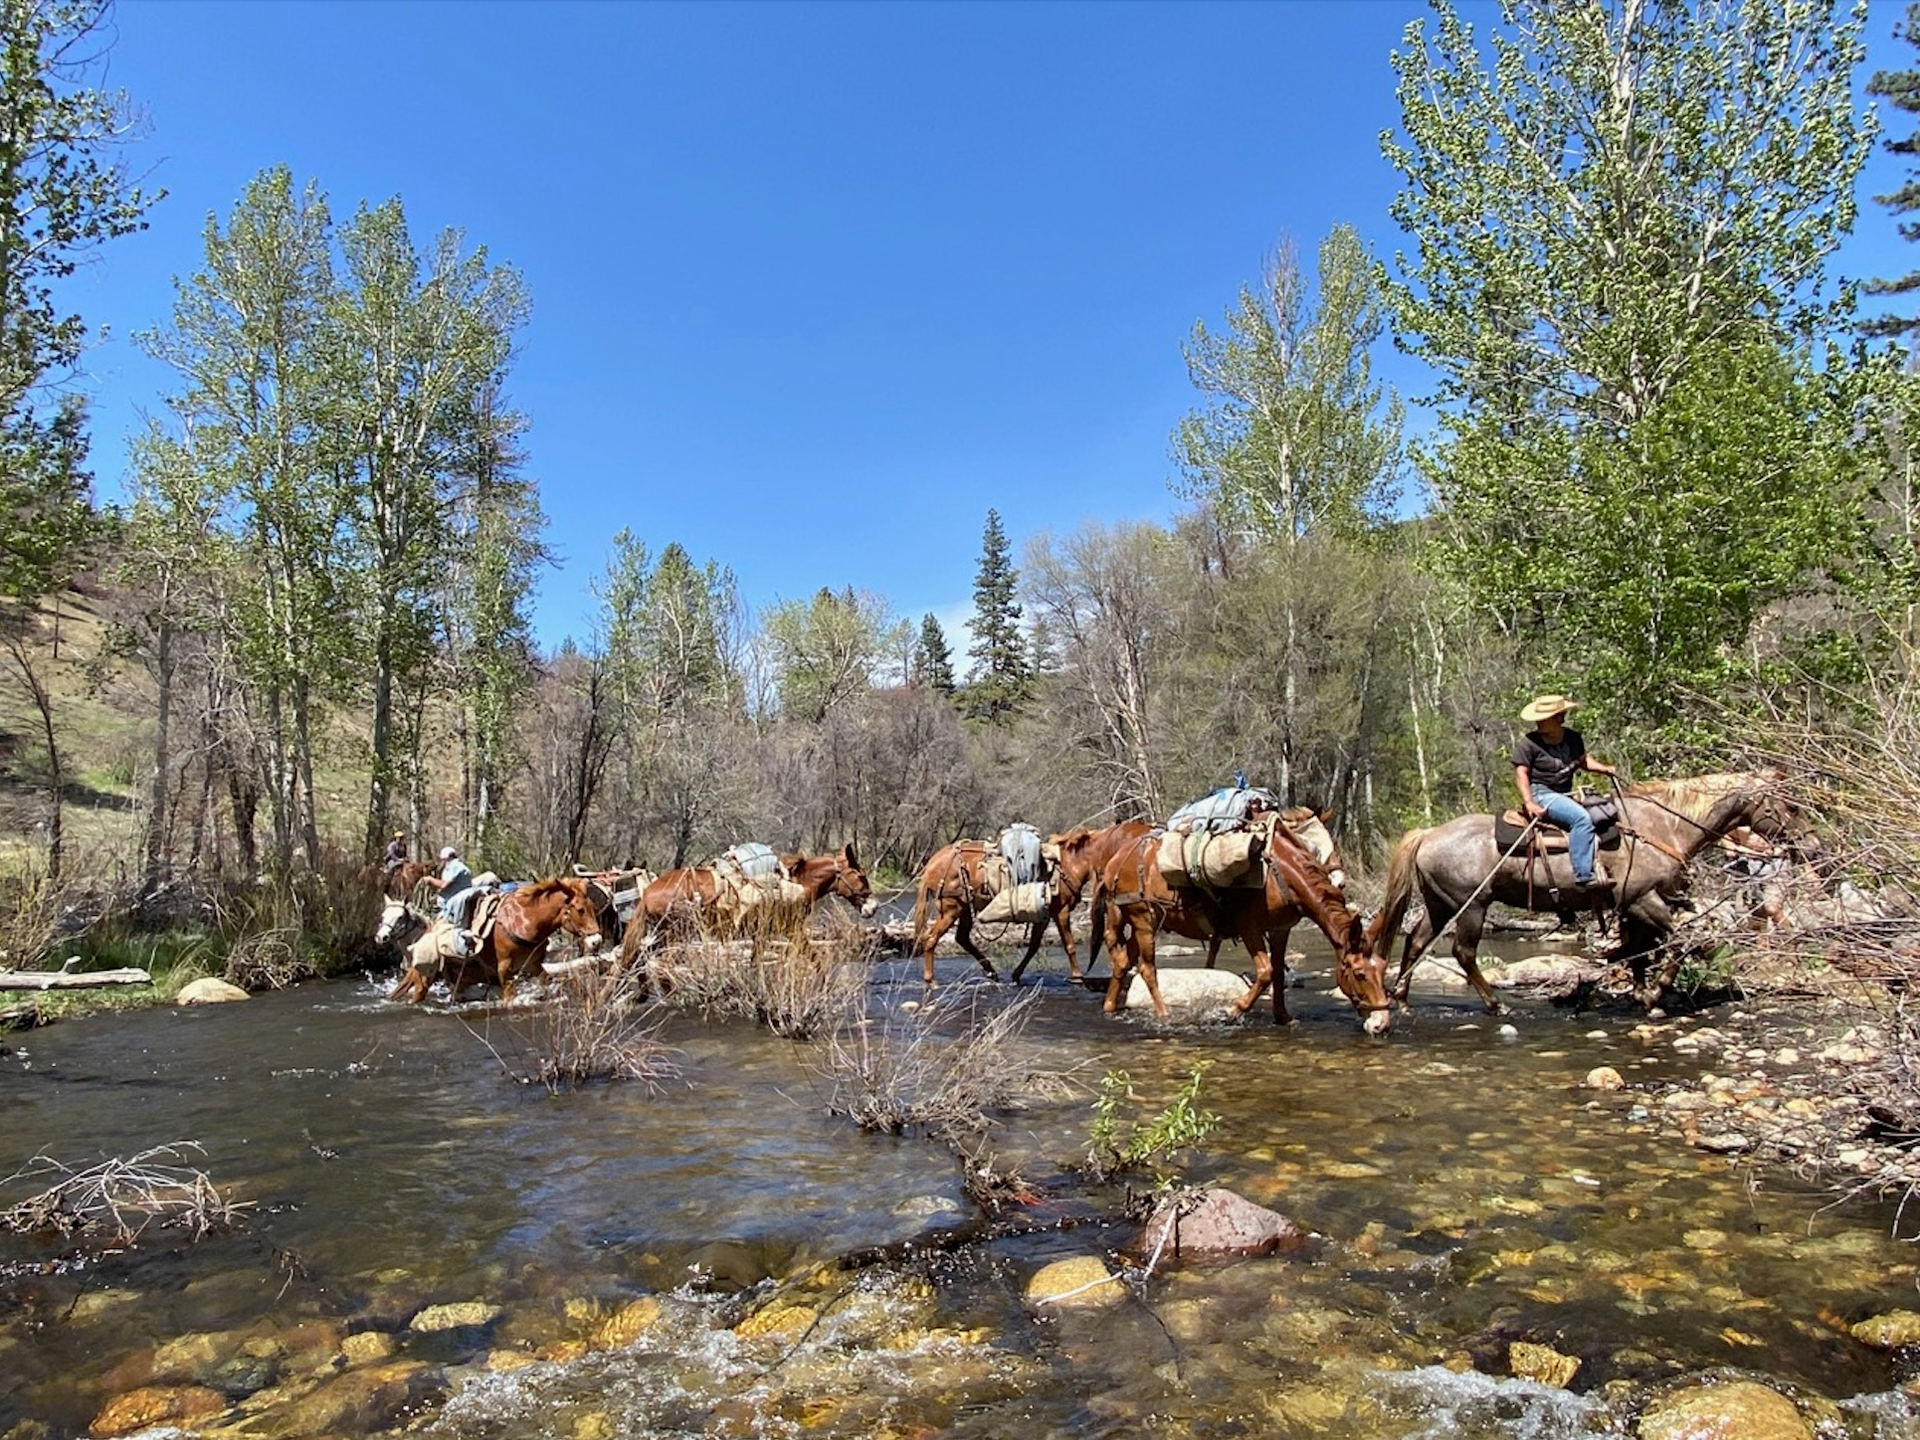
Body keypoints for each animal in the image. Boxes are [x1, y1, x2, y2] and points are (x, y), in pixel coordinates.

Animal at [385, 875, 602, 1006]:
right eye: (580, 910)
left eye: (593, 907)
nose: (597, 941)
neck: (524, 922)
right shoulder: (505, 971)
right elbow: (510, 996)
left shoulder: (534, 966)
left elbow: (546, 980)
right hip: (424, 977)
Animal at [614, 852, 879, 975]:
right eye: (862, 876)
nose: (874, 907)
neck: (795, 882)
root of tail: (648, 892)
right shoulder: (792, 930)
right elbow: (817, 960)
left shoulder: (763, 934)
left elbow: (755, 963)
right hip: (674, 935)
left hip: (662, 935)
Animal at [1098, 821, 1397, 1036]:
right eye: (1359, 974)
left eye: (1382, 969)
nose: (1381, 1024)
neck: (1283, 876)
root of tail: (1115, 862)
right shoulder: (1249, 927)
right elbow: (1265, 973)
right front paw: (1232, 1011)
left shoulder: (1280, 929)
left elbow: (1278, 973)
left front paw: (1283, 1017)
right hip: (1143, 920)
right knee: (1147, 969)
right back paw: (1165, 1015)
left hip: (1140, 922)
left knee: (1122, 962)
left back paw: (1110, 1008)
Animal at [1374, 779, 1804, 1013]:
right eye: (1790, 804)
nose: (1809, 844)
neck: (1663, 825)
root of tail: (1428, 833)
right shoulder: (1642, 899)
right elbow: (1684, 940)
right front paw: (1655, 995)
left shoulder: (1635, 905)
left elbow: (1641, 950)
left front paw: (1641, 993)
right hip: (1472, 906)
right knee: (1463, 952)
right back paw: (1497, 1005)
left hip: (1441, 904)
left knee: (1415, 940)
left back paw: (1403, 999)